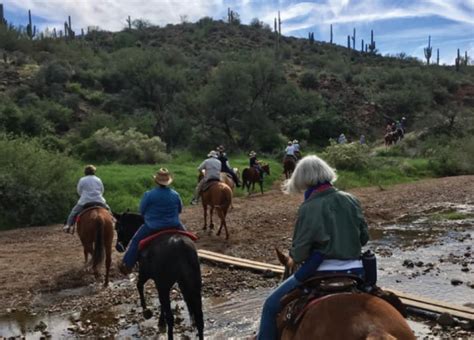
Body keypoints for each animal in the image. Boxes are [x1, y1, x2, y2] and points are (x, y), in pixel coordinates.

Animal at [115, 212, 205, 340]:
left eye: (117, 228)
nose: (117, 247)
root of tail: (180, 245)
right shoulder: (161, 284)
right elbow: (162, 304)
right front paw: (160, 321)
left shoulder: (146, 275)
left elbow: (139, 285)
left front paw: (146, 311)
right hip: (193, 286)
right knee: (199, 318)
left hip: (164, 285)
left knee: (171, 318)